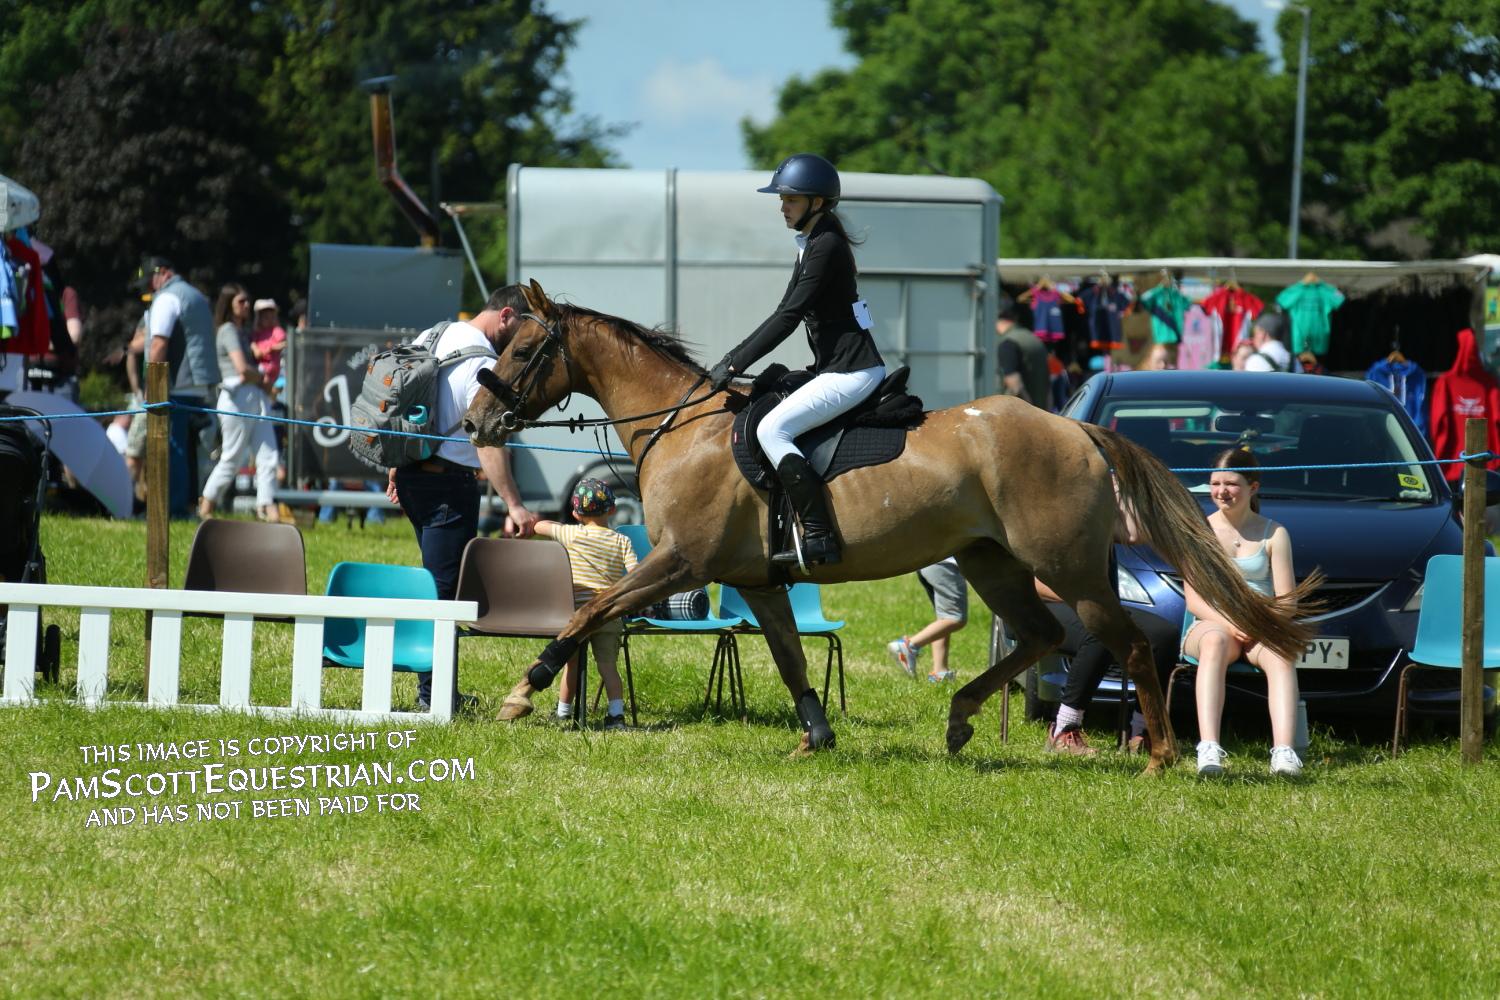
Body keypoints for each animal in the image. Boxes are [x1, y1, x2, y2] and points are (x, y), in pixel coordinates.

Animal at [463, 281, 1316, 771]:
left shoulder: (680, 560)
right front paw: (816, 737)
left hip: (1070, 568)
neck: (684, 426)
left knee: (1127, 645)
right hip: (992, 562)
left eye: (527, 346)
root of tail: (1075, 428)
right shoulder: (755, 581)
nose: (475, 421)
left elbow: (589, 614)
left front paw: (521, 692)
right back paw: (961, 721)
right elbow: (790, 660)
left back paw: (1162, 758)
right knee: (1040, 636)